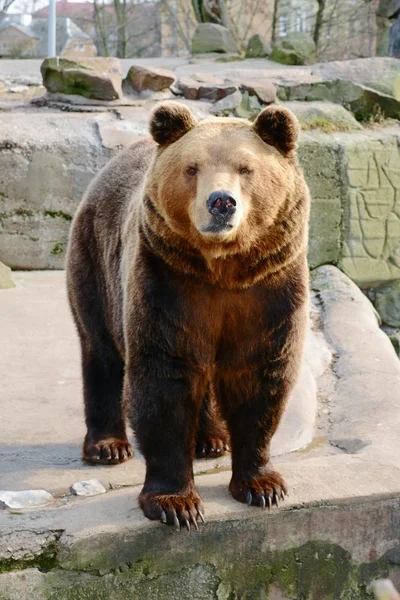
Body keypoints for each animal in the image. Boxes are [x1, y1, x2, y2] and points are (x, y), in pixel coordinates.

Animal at [66, 102, 310, 528]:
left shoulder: (270, 290)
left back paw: (212, 439)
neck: (223, 269)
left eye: (246, 168)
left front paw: (263, 485)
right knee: (101, 352)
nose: (221, 202)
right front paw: (176, 504)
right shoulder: (167, 284)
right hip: (95, 261)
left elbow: (260, 375)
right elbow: (164, 377)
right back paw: (107, 445)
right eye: (192, 168)